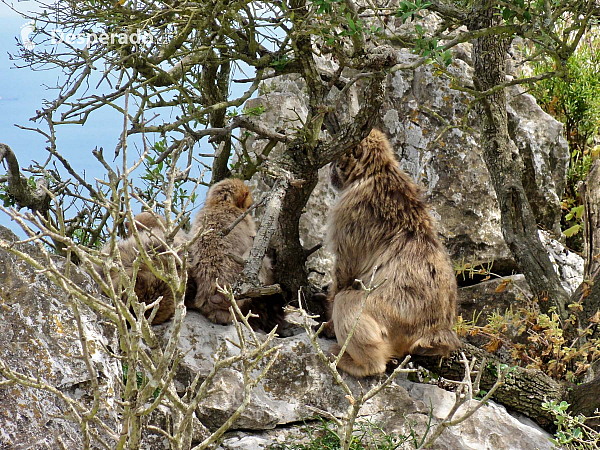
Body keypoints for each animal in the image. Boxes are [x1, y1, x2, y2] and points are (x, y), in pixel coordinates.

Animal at [324, 129, 460, 376]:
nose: (329, 166)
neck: (376, 172)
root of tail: (434, 330)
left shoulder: (349, 212)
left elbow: (347, 272)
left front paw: (328, 325)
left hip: (393, 317)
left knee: (346, 301)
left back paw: (363, 364)